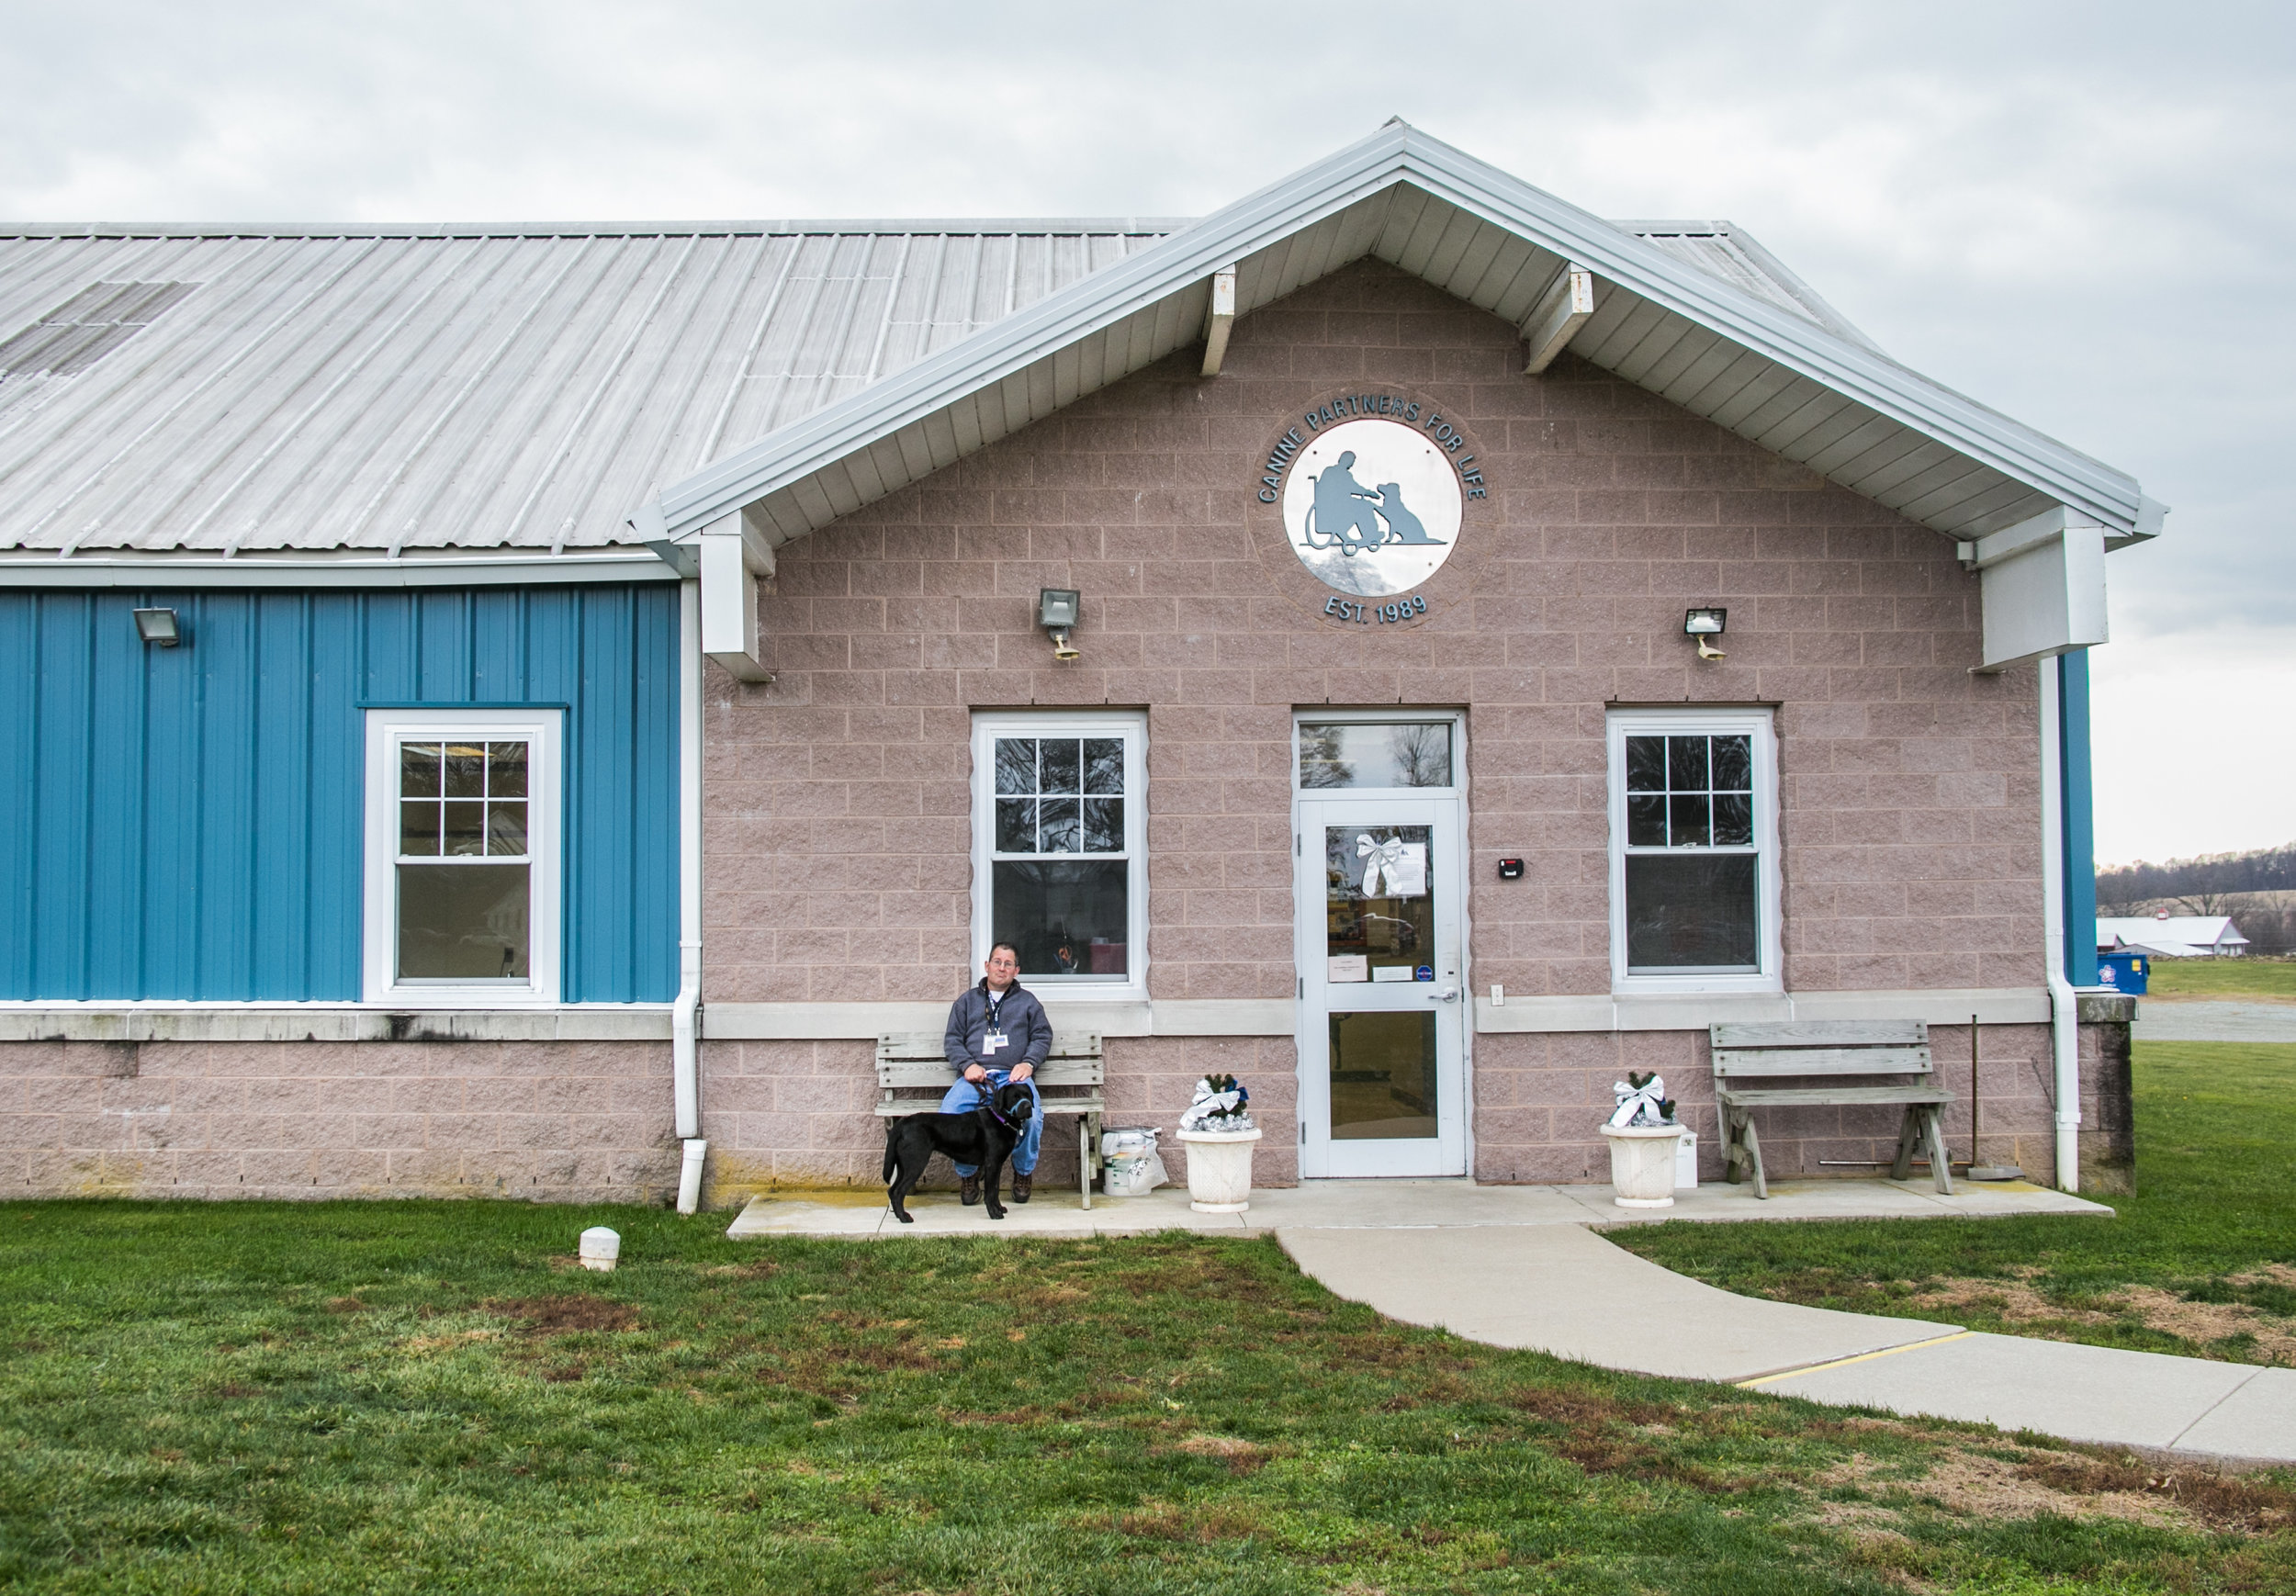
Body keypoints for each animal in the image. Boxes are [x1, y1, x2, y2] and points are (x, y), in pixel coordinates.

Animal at [877, 1079, 1033, 1231]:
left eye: (1028, 1095)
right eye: (1015, 1097)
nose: (1028, 1107)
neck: (1002, 1119)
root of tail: (903, 1122)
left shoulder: (997, 1165)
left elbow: (995, 1190)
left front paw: (999, 1208)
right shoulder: (992, 1164)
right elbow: (989, 1193)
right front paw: (994, 1214)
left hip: (904, 1166)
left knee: (892, 1190)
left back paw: (899, 1215)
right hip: (916, 1163)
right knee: (898, 1192)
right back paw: (904, 1218)